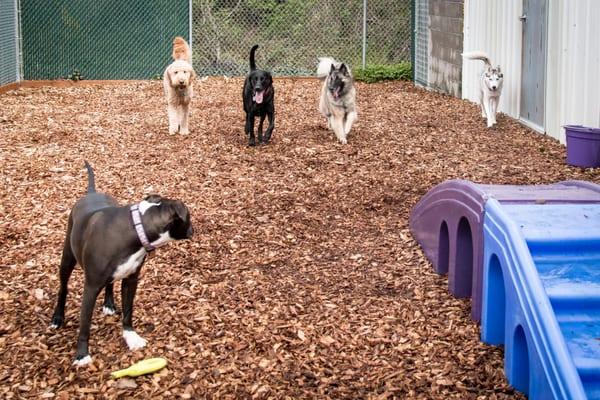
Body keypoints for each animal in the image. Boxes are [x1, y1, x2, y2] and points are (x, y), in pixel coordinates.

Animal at [51, 162, 193, 366]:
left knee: (110, 284)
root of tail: (91, 192)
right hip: (67, 259)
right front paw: (82, 355)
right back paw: (57, 317)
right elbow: (85, 323)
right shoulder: (91, 287)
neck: (137, 227)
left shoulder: (130, 280)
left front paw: (131, 337)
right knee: (63, 288)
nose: (193, 229)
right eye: (189, 216)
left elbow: (128, 310)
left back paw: (109, 303)